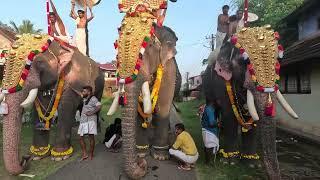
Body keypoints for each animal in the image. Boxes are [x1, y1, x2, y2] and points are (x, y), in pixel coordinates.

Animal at [0, 33, 104, 174]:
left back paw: (94, 132)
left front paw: (60, 156)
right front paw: (38, 155)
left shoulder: (72, 81)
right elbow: (41, 109)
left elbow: (65, 108)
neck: (58, 47)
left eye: (39, 63)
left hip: (100, 87)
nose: (25, 159)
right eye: (4, 66)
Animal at [108, 24, 179, 180]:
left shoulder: (169, 71)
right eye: (117, 52)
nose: (142, 164)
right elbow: (139, 113)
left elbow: (162, 108)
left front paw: (160, 157)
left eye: (149, 46)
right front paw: (141, 154)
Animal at [202, 26, 298, 179]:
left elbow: (252, 118)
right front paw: (230, 162)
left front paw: (252, 164)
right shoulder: (221, 82)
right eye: (245, 62)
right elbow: (229, 115)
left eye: (279, 60)